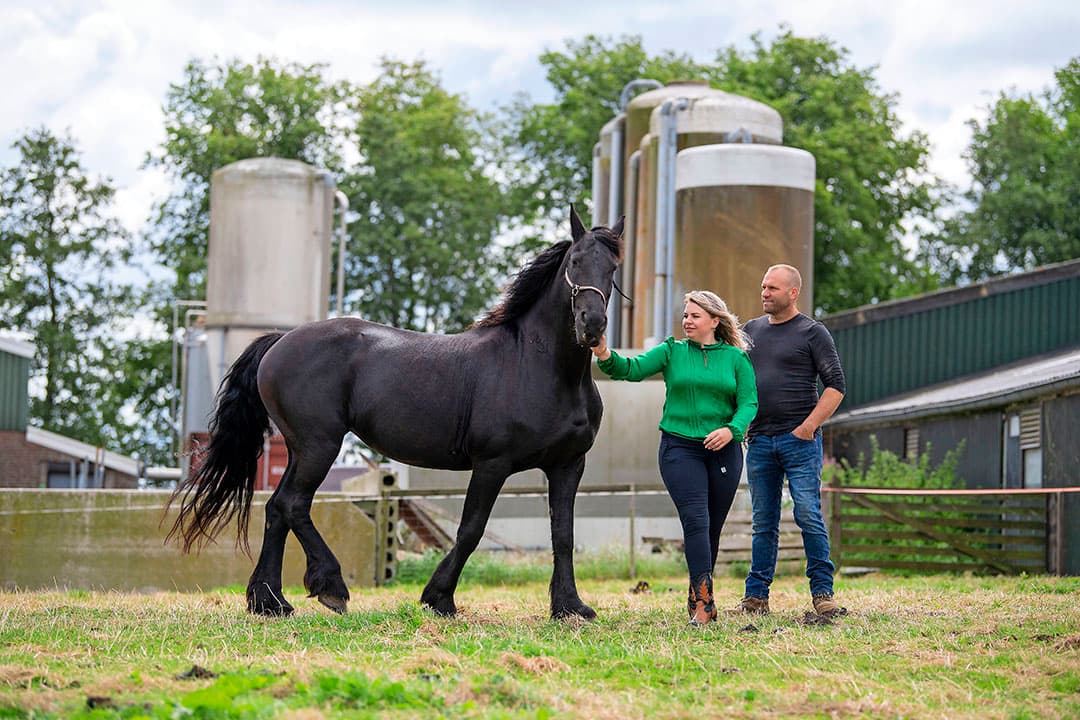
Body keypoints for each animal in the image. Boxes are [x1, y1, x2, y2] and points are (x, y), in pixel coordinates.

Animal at [167, 206, 624, 620]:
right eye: (574, 262)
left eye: (613, 267)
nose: (592, 325)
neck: (537, 365)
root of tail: (280, 341)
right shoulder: (492, 463)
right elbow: (471, 530)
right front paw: (439, 599)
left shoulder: (567, 465)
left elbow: (562, 534)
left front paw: (570, 607)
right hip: (319, 445)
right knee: (293, 504)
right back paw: (329, 587)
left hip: (300, 449)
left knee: (277, 509)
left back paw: (271, 602)